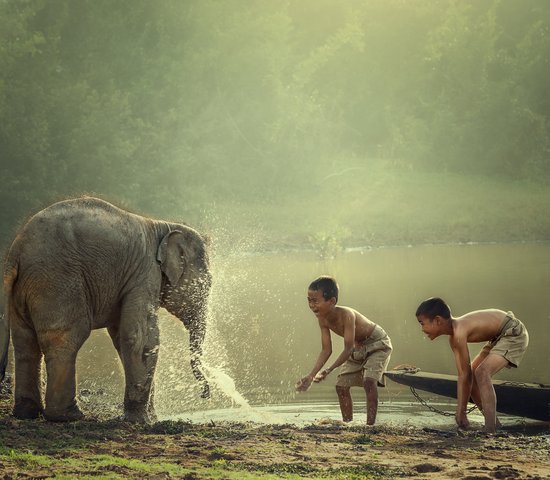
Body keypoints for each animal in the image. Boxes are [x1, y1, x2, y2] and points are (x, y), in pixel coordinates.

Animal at [0, 197, 212, 422]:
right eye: (205, 285)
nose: (205, 394)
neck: (163, 226)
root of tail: (16, 250)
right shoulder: (145, 274)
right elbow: (141, 339)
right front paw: (142, 421)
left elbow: (121, 338)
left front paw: (151, 418)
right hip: (57, 282)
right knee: (66, 339)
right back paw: (69, 416)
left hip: (25, 290)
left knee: (25, 344)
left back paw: (27, 413)